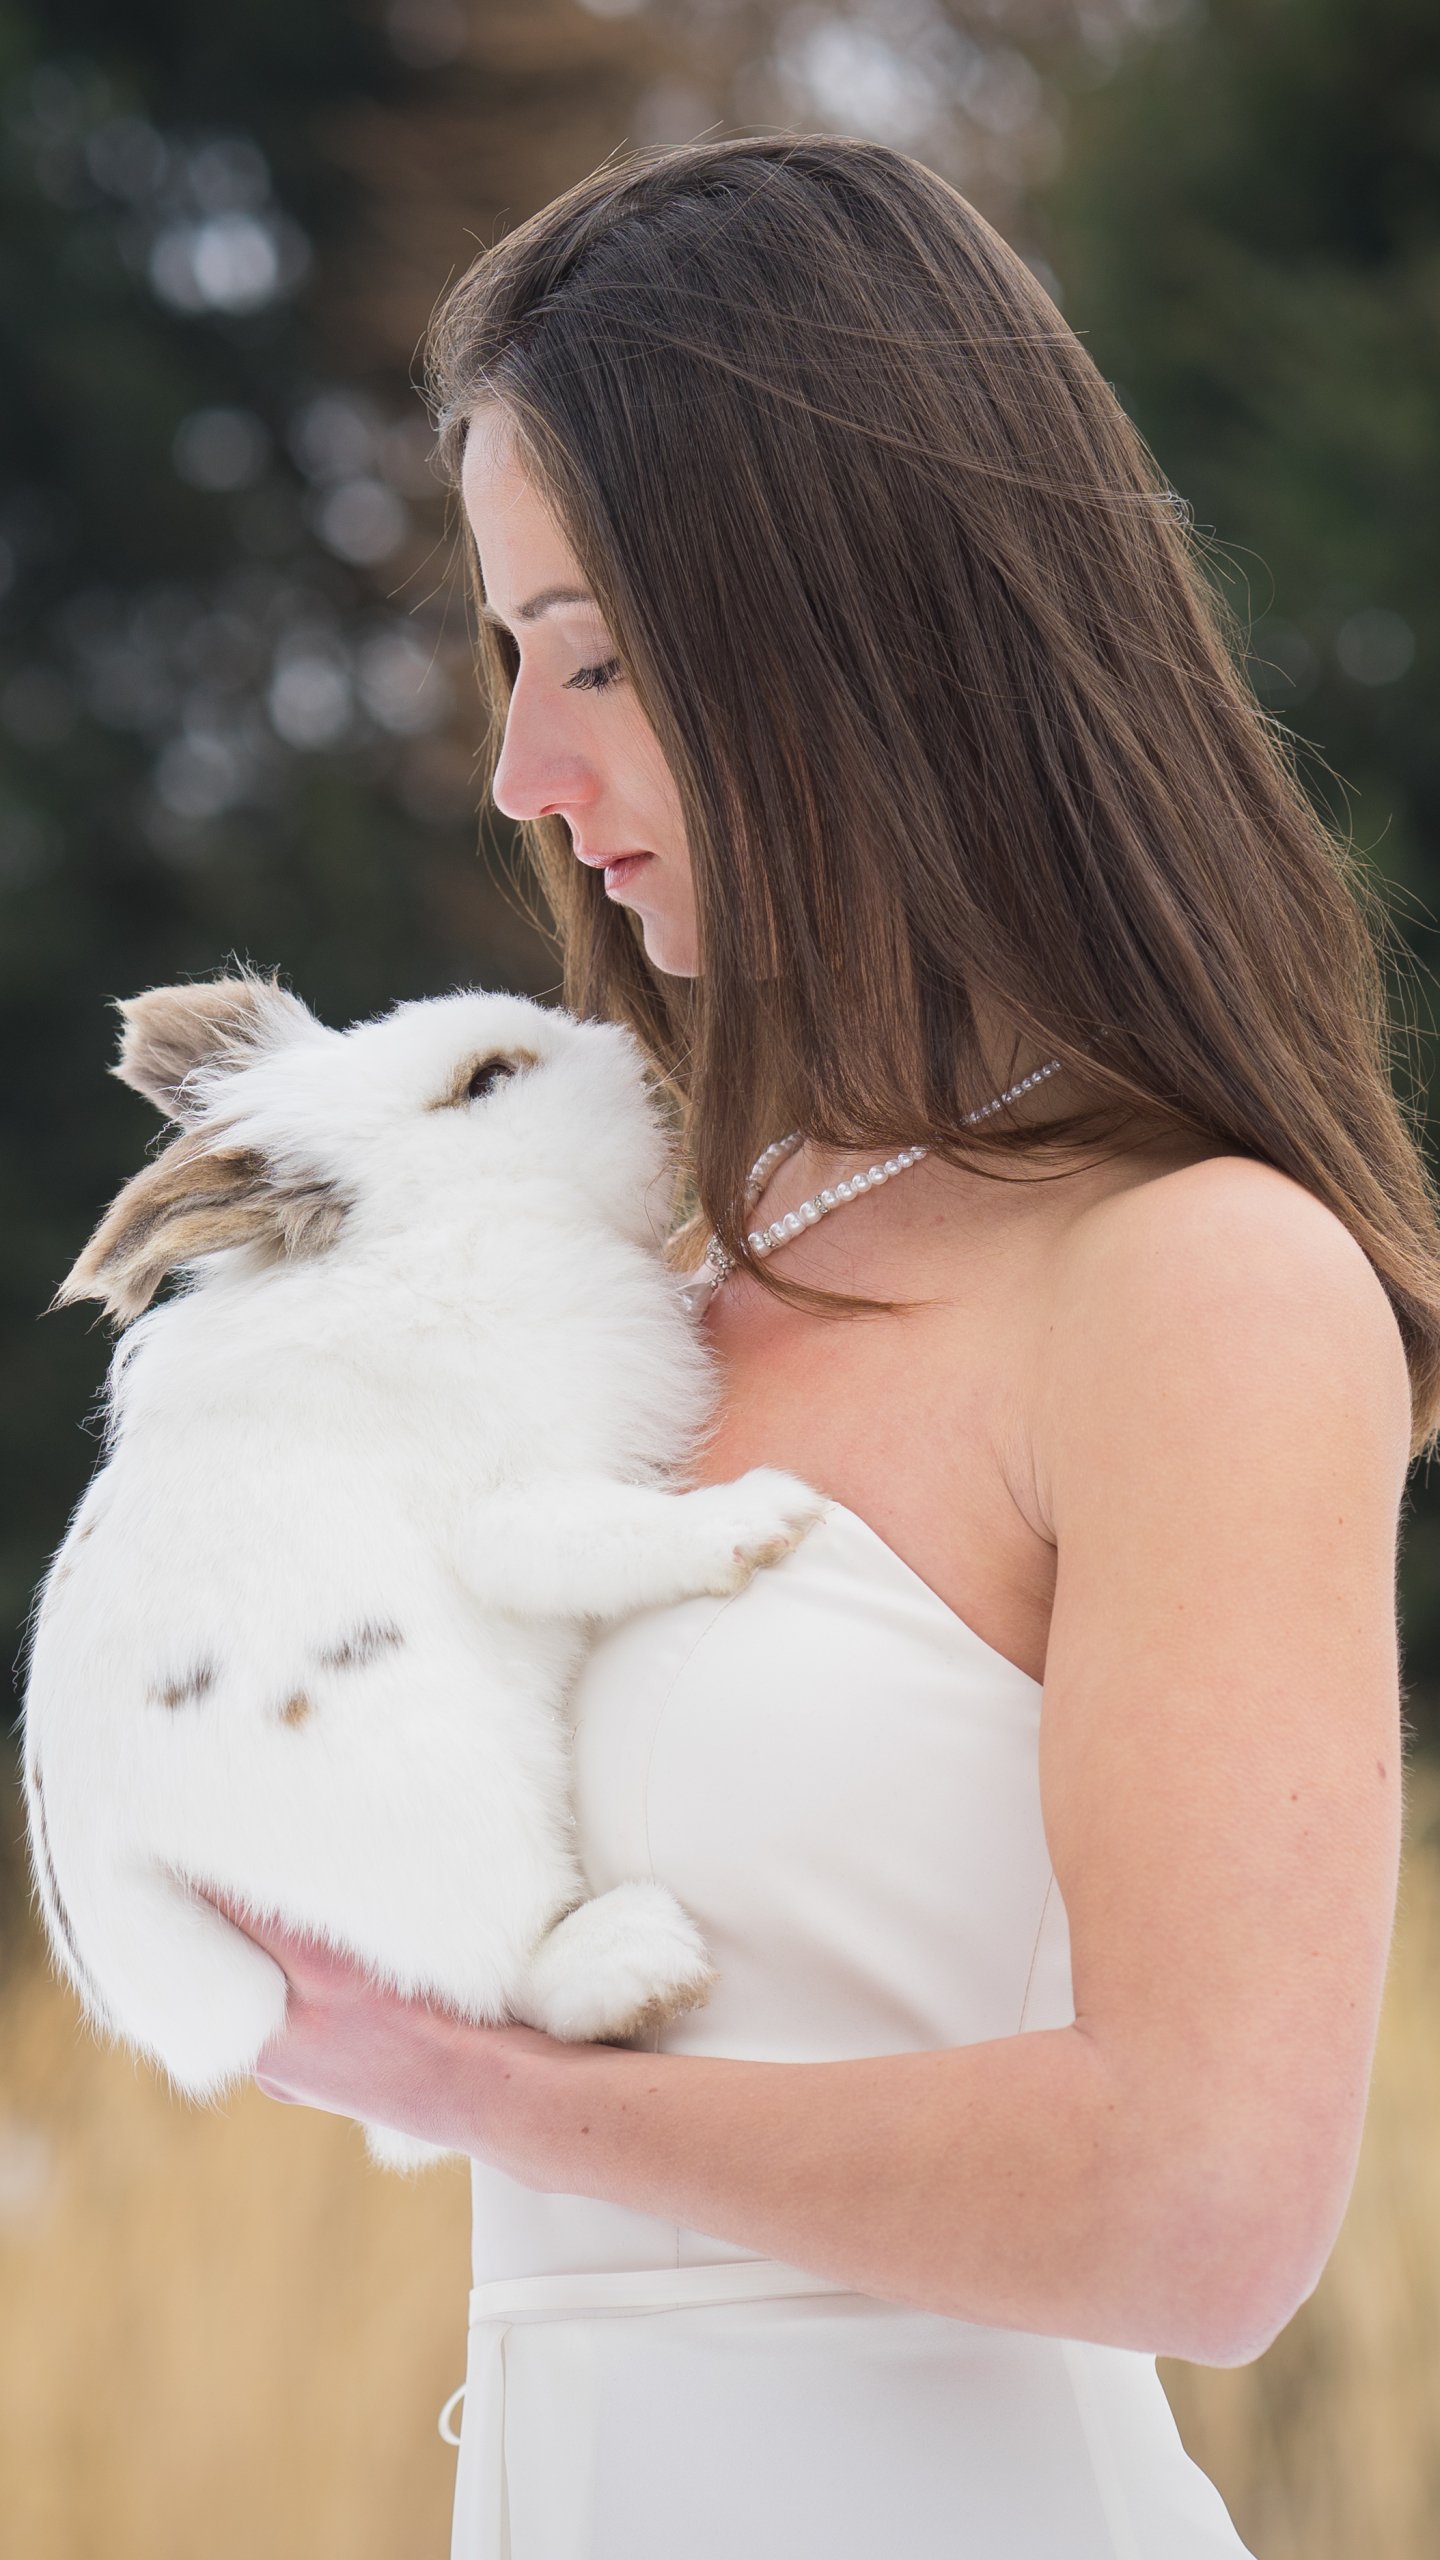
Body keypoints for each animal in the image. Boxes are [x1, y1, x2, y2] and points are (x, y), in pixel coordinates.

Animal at [21, 970, 826, 2172]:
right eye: (486, 1080)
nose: (644, 1071)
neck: (448, 1223)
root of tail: (187, 2004)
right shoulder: (514, 1503)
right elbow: (606, 1532)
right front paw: (765, 1517)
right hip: (463, 1810)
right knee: (494, 1983)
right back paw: (641, 1960)